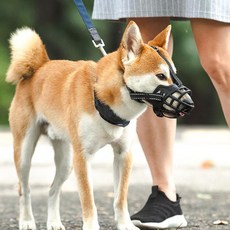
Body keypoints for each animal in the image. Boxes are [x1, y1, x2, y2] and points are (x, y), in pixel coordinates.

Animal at [5, 21, 192, 230]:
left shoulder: (123, 154)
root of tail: (40, 66)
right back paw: (27, 220)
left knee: (53, 190)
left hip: (66, 162)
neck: (102, 98)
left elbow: (120, 198)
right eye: (160, 76)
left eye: (174, 75)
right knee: (24, 189)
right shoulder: (83, 157)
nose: (189, 103)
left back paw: (53, 222)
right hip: (25, 154)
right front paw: (91, 225)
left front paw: (125, 224)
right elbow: (88, 200)